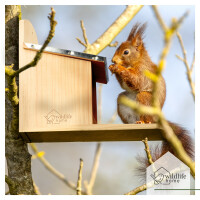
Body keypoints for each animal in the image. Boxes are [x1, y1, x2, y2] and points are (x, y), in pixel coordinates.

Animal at [109, 22, 194, 168]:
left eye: (126, 52)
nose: (113, 60)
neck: (137, 61)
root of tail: (156, 119)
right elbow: (126, 85)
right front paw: (112, 68)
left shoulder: (144, 72)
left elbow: (137, 81)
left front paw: (119, 68)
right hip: (123, 100)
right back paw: (133, 123)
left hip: (145, 98)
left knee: (145, 112)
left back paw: (144, 121)